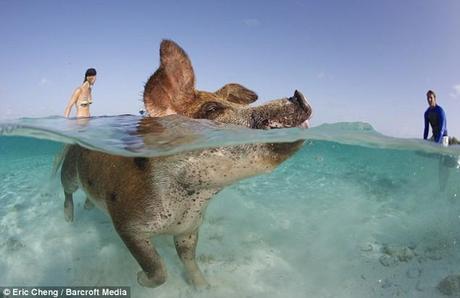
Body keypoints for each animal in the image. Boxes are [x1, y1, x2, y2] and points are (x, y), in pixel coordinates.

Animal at [59, 40, 310, 288]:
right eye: (212, 109)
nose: (298, 95)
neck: (190, 200)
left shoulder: (189, 228)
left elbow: (188, 259)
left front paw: (204, 287)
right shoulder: (126, 223)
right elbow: (156, 268)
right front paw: (140, 278)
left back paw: (87, 208)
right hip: (70, 170)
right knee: (67, 190)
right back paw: (69, 219)